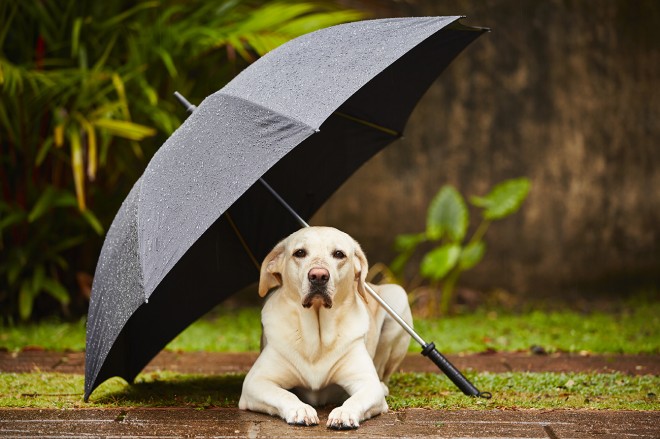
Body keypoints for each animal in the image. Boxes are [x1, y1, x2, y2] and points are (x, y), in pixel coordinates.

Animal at [237, 227, 412, 430]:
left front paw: (344, 413)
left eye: (339, 254)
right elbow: (284, 393)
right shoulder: (255, 382)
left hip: (398, 297)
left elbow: (356, 398)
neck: (317, 335)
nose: (318, 276)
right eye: (299, 253)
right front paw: (301, 409)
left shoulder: (368, 383)